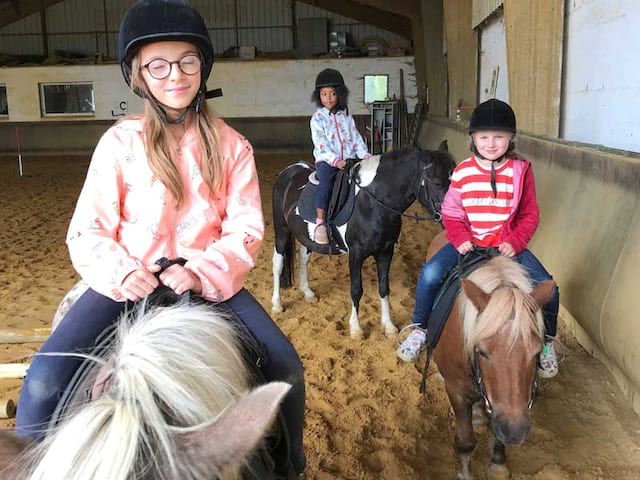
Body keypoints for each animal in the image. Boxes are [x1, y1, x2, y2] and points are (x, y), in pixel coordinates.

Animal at [270, 144, 456, 340]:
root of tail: (289, 171)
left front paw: (389, 326)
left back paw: (307, 293)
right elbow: (356, 289)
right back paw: (277, 304)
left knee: (303, 259)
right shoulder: (356, 254)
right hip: (281, 230)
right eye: (437, 183)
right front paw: (356, 328)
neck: (374, 204)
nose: (452, 218)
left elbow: (384, 288)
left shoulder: (385, 252)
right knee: (278, 263)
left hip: (306, 236)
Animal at [428, 232, 556, 476]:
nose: (515, 431)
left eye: (536, 351)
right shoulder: (456, 390)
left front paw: (498, 462)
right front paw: (465, 472)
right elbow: (466, 440)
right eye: (482, 351)